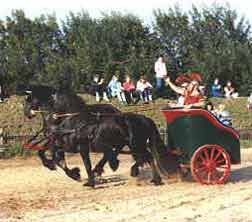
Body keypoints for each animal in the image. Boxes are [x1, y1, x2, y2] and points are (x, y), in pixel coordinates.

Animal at [22, 86, 178, 186]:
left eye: (28, 99)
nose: (27, 113)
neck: (72, 119)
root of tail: (145, 118)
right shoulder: (61, 143)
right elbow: (55, 158)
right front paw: (75, 174)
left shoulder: (79, 146)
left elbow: (85, 164)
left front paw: (88, 181)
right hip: (130, 144)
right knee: (138, 156)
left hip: (135, 144)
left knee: (146, 157)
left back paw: (151, 178)